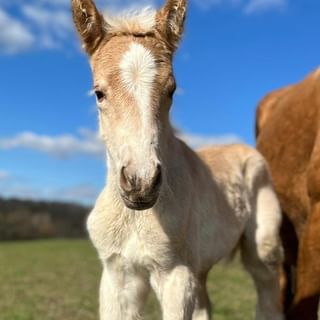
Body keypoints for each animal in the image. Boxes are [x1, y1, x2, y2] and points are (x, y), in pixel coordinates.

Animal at [72, 1, 282, 318]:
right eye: (99, 92)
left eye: (171, 90)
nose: (141, 183)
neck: (136, 217)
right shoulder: (117, 273)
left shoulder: (175, 275)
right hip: (200, 268)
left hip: (261, 251)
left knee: (269, 296)